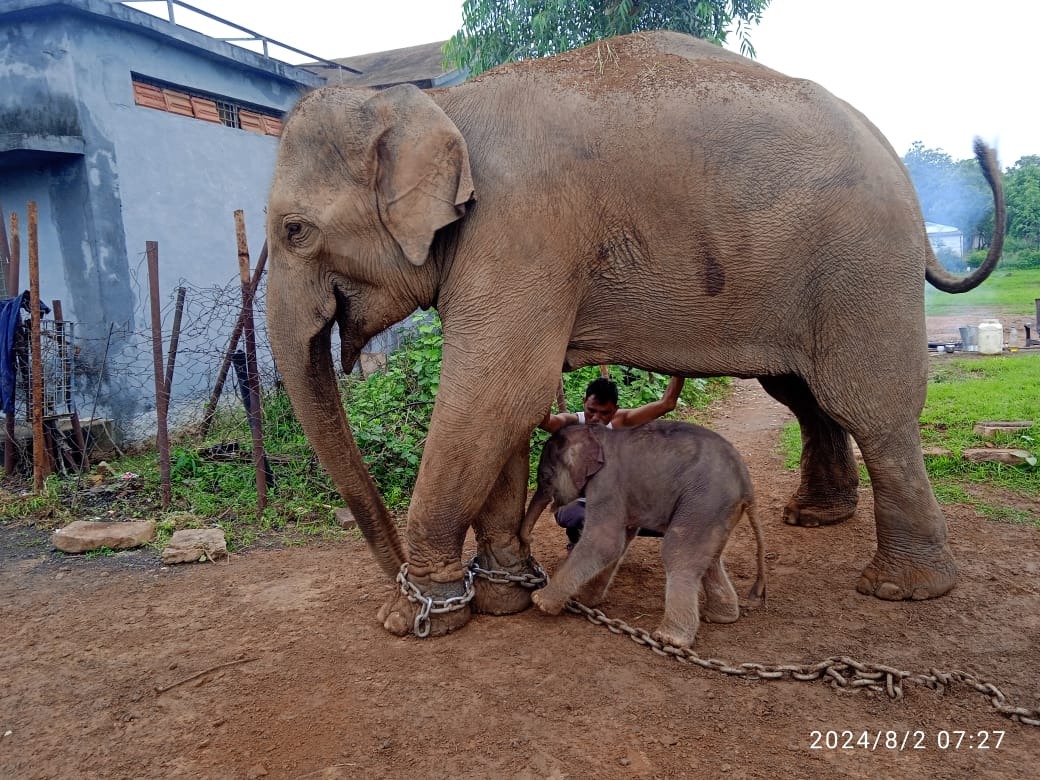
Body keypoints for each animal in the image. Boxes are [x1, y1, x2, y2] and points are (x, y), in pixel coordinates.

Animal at [521, 421, 767, 648]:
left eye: (546, 476)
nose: (529, 540)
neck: (598, 434)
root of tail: (747, 484)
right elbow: (620, 542)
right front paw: (582, 600)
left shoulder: (607, 484)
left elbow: (605, 543)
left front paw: (540, 601)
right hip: (720, 512)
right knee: (710, 559)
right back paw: (719, 617)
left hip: (704, 503)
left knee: (678, 552)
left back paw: (670, 639)